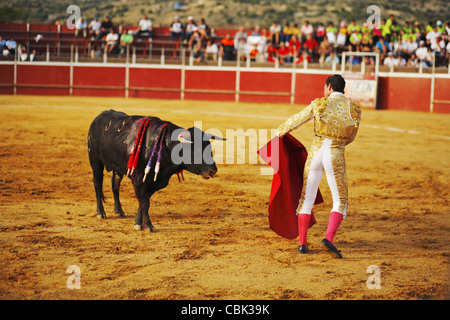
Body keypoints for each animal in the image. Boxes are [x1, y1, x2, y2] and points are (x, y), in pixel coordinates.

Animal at [88, 109, 223, 231]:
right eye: (197, 149)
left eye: (209, 147)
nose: (213, 170)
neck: (164, 146)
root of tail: (99, 116)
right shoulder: (139, 178)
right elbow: (144, 202)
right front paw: (148, 226)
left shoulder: (154, 181)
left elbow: (144, 201)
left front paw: (138, 222)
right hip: (95, 161)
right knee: (98, 184)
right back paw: (101, 213)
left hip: (118, 167)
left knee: (115, 185)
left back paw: (119, 211)